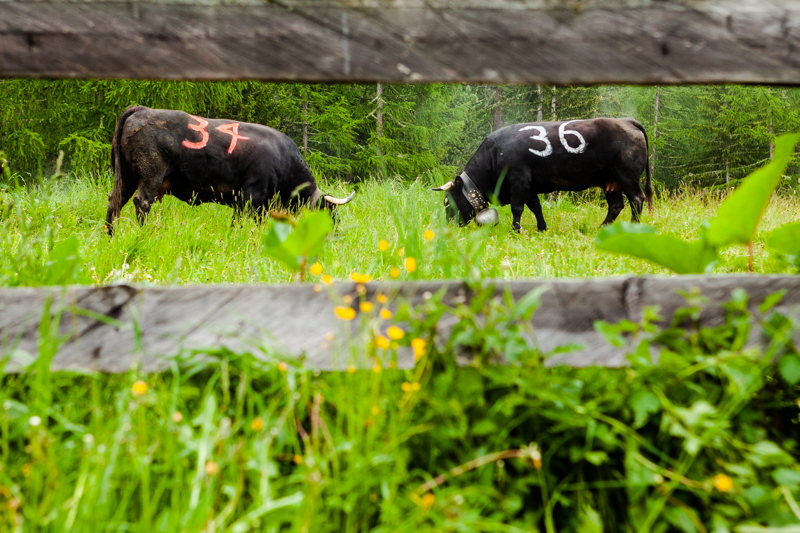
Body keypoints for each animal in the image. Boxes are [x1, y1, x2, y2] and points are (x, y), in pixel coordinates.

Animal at [105, 106, 355, 236]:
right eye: (328, 213)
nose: (334, 234)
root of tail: (142, 109)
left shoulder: (261, 205)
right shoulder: (250, 195)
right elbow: (239, 220)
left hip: (127, 177)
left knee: (115, 201)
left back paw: (110, 235)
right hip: (150, 176)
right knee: (142, 202)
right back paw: (143, 233)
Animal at [433, 117, 652, 232]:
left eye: (448, 201)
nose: (448, 224)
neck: (494, 154)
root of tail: (625, 120)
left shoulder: (518, 181)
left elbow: (517, 208)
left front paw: (516, 230)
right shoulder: (529, 188)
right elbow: (536, 207)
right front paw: (542, 228)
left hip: (627, 176)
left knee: (636, 200)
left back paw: (633, 227)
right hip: (611, 182)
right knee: (616, 205)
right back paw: (602, 228)